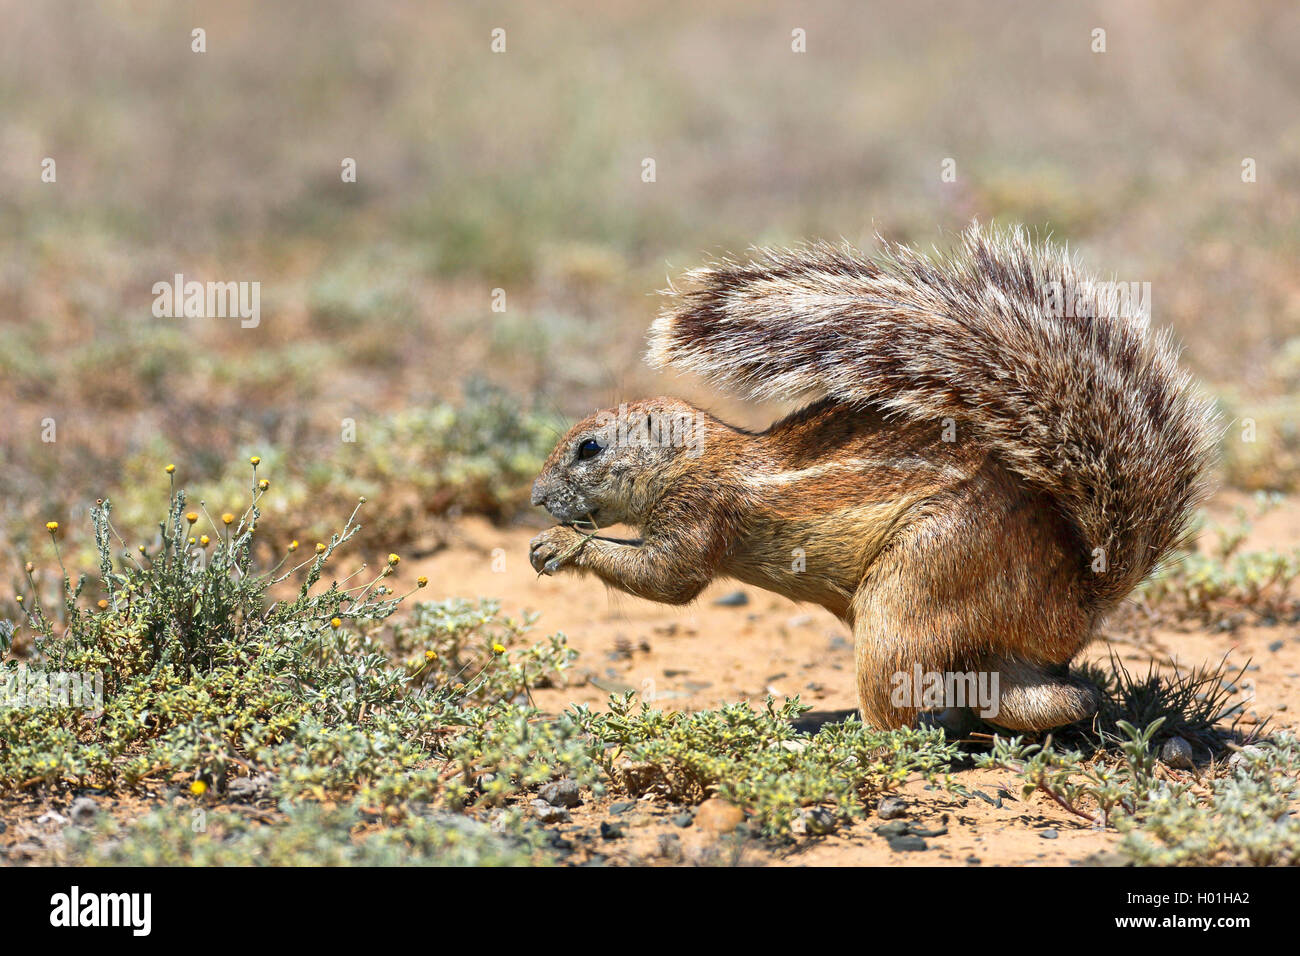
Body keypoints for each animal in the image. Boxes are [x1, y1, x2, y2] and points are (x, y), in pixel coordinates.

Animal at [529, 222, 1219, 732]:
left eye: (588, 448)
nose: (536, 498)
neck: (699, 456)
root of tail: (1077, 599)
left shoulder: (700, 510)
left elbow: (667, 579)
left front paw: (560, 545)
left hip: (918, 582)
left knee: (902, 712)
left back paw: (846, 741)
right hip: (993, 649)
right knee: (1038, 699)